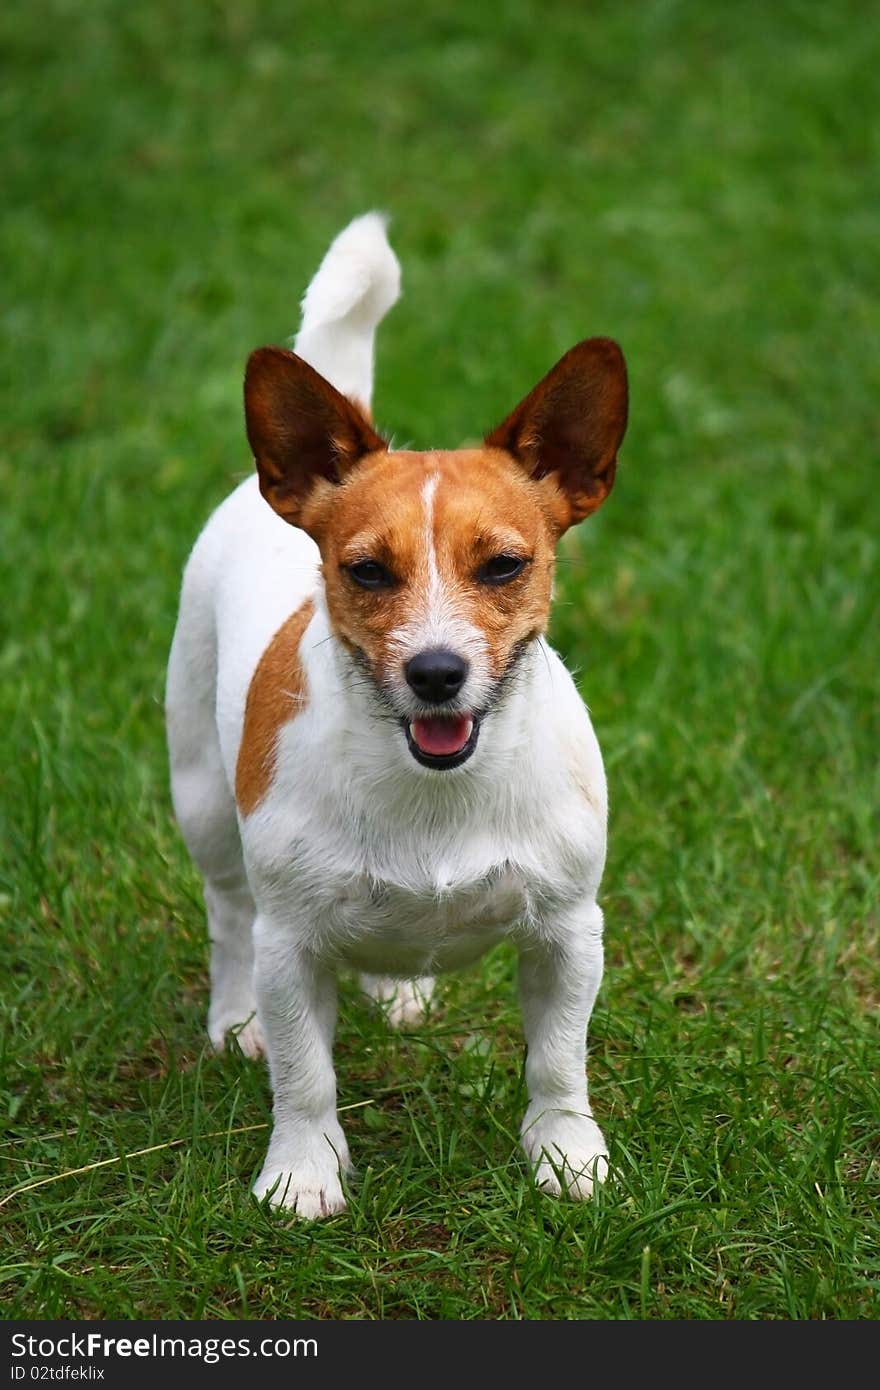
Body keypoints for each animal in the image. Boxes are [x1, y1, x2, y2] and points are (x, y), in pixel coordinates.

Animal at [164, 208, 625, 1217]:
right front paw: (302, 1171)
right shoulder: (290, 943)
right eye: (368, 571)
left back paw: (396, 984)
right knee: (227, 916)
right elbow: (305, 1075)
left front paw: (567, 1154)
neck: (435, 793)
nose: (437, 673)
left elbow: (559, 1063)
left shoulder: (569, 933)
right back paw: (236, 1018)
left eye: (504, 565)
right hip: (204, 802)